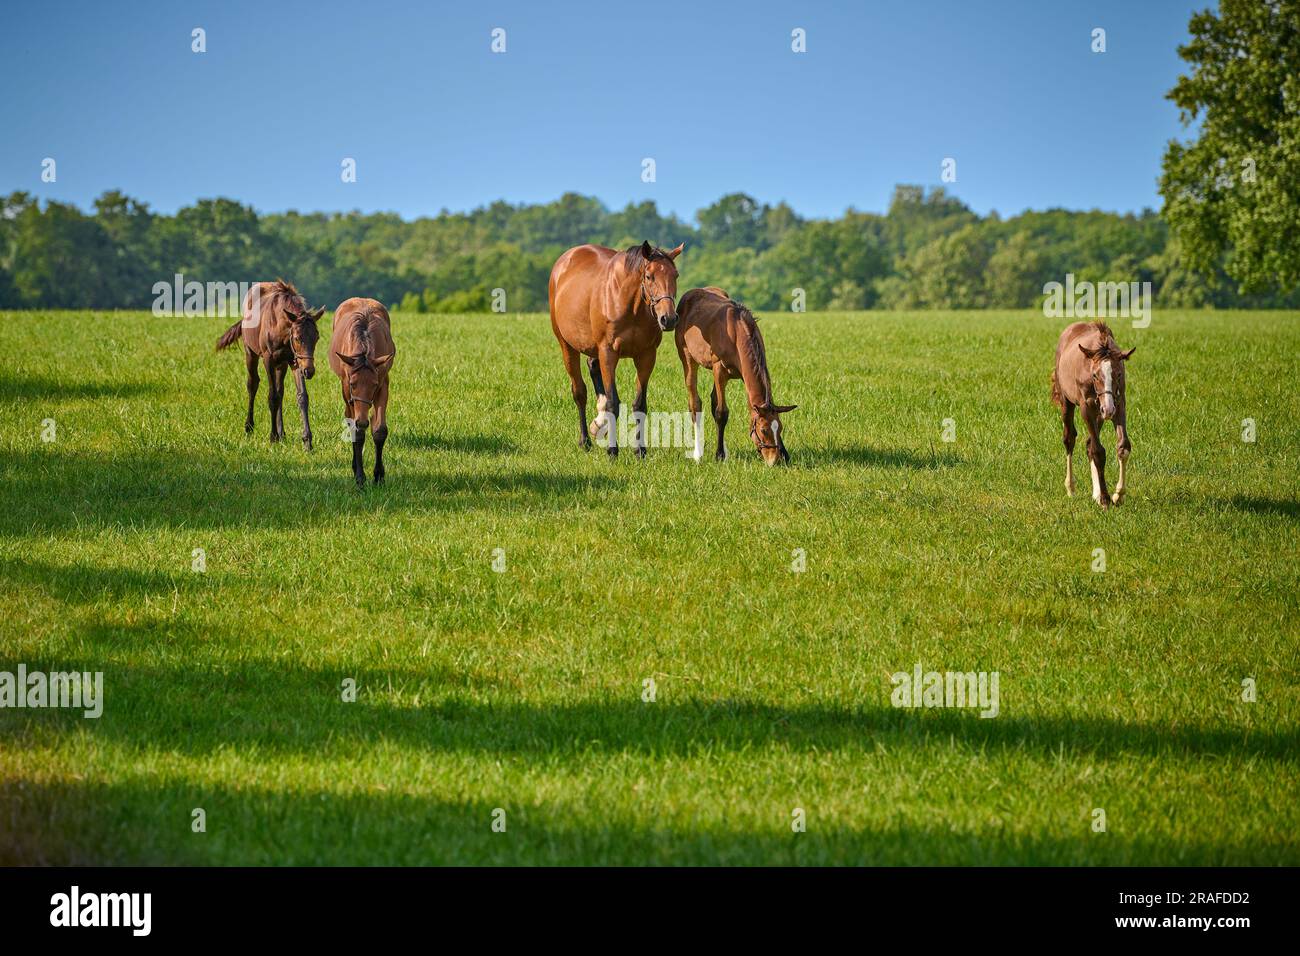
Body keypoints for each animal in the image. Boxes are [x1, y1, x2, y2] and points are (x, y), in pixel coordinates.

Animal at [214, 280, 323, 452]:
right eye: (297, 338)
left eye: (316, 337)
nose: (309, 371)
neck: (279, 325)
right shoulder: (268, 359)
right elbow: (272, 397)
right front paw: (272, 437)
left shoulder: (294, 360)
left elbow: (301, 397)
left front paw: (307, 442)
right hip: (250, 353)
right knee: (253, 384)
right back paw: (250, 427)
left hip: (282, 364)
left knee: (280, 391)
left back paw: (282, 433)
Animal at [327, 299, 392, 489]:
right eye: (353, 384)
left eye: (374, 385)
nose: (362, 421)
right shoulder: (348, 391)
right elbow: (357, 431)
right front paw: (360, 477)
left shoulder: (383, 385)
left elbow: (379, 430)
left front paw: (379, 475)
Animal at [551, 243, 686, 460]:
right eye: (649, 276)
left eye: (676, 275)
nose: (669, 318)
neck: (630, 305)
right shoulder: (608, 353)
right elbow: (613, 402)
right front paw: (612, 451)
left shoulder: (646, 356)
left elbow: (639, 404)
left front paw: (640, 450)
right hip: (567, 345)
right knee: (579, 392)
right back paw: (585, 441)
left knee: (592, 366)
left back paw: (599, 423)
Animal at [676, 286, 795, 465]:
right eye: (763, 430)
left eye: (779, 428)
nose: (774, 460)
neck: (736, 333)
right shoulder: (719, 371)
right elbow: (721, 413)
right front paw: (719, 455)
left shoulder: (745, 375)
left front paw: (785, 453)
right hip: (688, 359)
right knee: (695, 403)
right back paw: (697, 453)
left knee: (713, 402)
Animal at [1050, 321, 1133, 509]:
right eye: (1095, 375)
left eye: (1118, 374)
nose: (1108, 410)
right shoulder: (1086, 407)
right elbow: (1098, 452)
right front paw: (1105, 499)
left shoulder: (1119, 403)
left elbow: (1123, 446)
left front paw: (1118, 495)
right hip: (1069, 402)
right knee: (1069, 439)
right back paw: (1071, 488)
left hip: (1099, 414)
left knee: (1088, 443)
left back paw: (1095, 493)